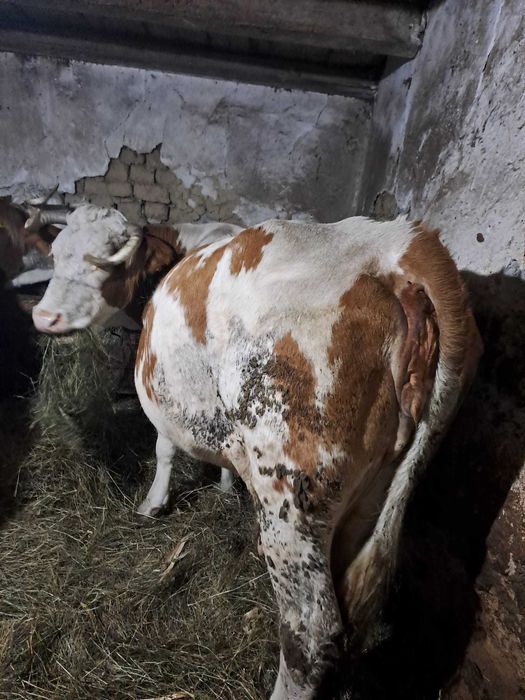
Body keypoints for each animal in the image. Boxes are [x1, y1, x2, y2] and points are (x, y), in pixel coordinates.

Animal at [32, 210, 482, 699]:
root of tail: (396, 241)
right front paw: (225, 488)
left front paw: (152, 504)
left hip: (289, 491)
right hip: (376, 489)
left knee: (310, 630)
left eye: (105, 262)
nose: (44, 317)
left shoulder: (164, 404)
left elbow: (163, 448)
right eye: (55, 255)